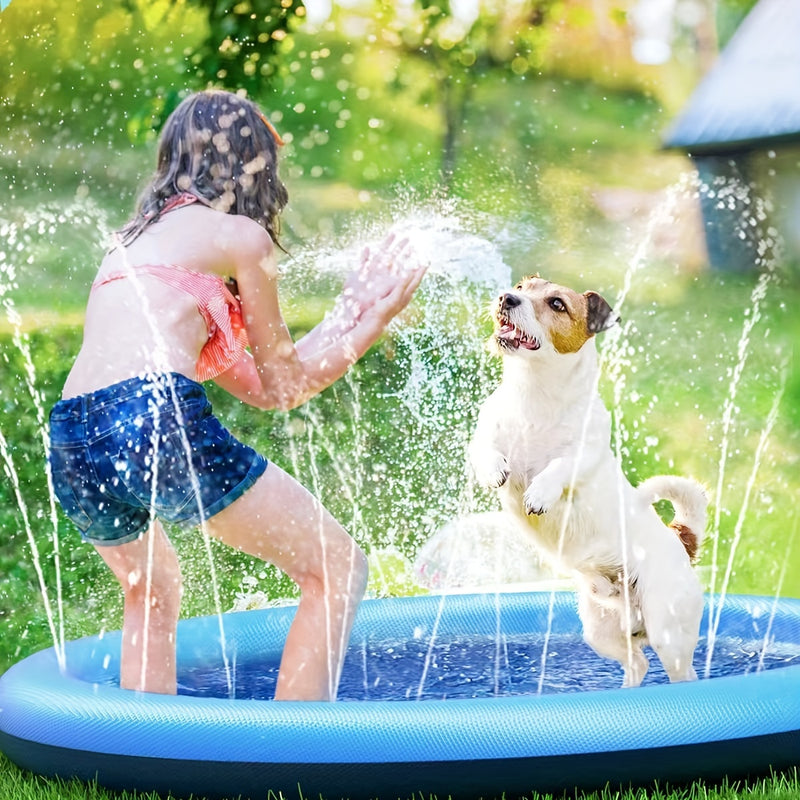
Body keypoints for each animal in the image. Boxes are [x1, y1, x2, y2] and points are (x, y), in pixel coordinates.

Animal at [468, 276, 708, 688]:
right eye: (522, 287)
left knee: (682, 673)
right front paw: (492, 469)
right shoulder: (485, 431)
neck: (535, 397)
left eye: (556, 303)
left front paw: (540, 492)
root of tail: (680, 540)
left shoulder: (585, 454)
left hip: (668, 631)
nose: (506, 298)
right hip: (600, 628)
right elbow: (483, 447)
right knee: (637, 663)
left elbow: (560, 466)